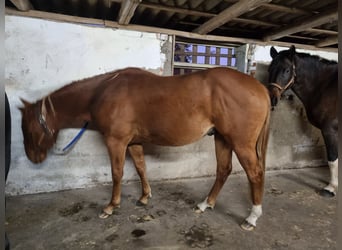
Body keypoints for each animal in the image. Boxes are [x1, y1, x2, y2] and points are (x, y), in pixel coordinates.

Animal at [20, 67, 272, 230]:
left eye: (27, 128)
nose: (33, 158)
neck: (102, 92)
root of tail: (260, 88)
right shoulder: (133, 142)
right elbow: (141, 168)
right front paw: (143, 197)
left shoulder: (116, 142)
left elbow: (117, 173)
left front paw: (111, 206)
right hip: (222, 138)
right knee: (223, 170)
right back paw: (205, 204)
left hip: (240, 143)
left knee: (255, 174)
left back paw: (252, 218)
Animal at [268, 45, 338, 197]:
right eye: (269, 69)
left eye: (287, 70)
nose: (271, 99)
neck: (325, 86)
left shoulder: (330, 130)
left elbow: (332, 158)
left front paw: (331, 188)